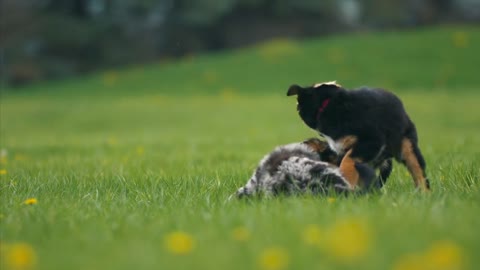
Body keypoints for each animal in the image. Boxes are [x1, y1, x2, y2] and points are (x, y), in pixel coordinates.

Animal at [286, 81, 430, 191]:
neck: (328, 106)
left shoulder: (371, 141)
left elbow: (347, 160)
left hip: (407, 147)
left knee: (419, 172)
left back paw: (424, 194)